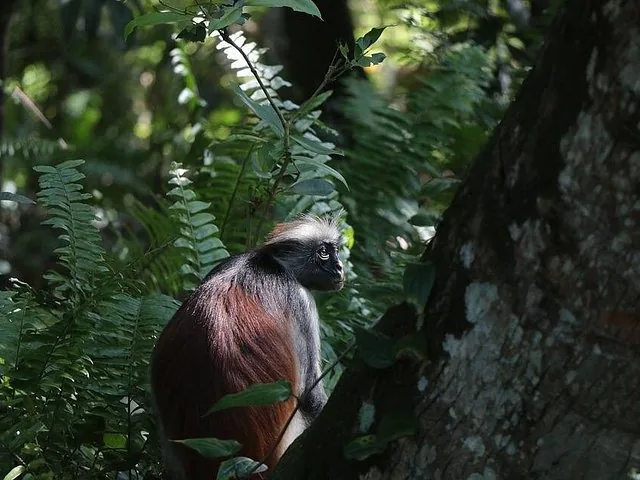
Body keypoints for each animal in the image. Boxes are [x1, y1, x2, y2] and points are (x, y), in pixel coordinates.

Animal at [150, 215, 344, 479]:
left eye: (335, 251)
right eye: (324, 253)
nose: (340, 267)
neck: (268, 265)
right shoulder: (300, 300)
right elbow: (310, 398)